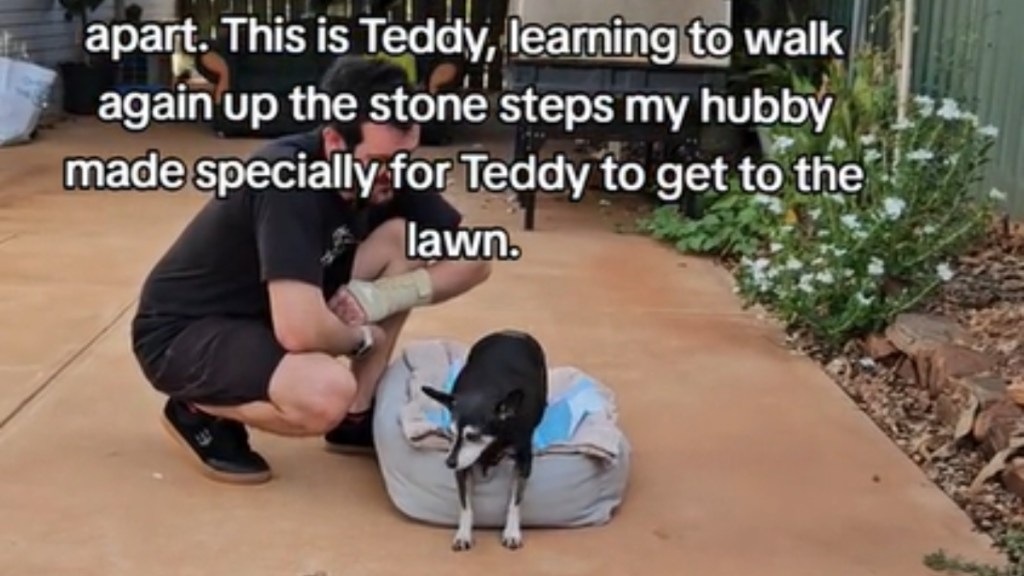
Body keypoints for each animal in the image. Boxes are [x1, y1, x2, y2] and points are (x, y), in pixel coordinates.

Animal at [419, 327, 548, 545]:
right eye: (451, 434)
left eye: (473, 436)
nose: (449, 463)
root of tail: (512, 332)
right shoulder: (462, 467)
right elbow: (465, 505)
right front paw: (463, 533)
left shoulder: (524, 461)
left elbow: (515, 501)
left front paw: (512, 532)